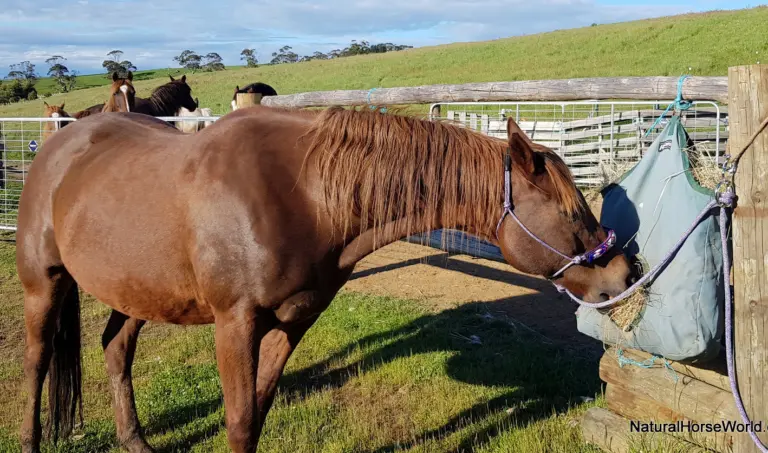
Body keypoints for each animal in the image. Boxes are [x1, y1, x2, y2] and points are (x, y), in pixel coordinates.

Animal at [16, 105, 634, 453]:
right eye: (573, 212)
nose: (625, 272)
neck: (302, 194)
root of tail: (59, 142)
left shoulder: (292, 323)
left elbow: (258, 414)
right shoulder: (235, 324)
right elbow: (238, 421)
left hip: (136, 291)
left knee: (115, 350)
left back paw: (135, 441)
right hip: (43, 283)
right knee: (38, 364)